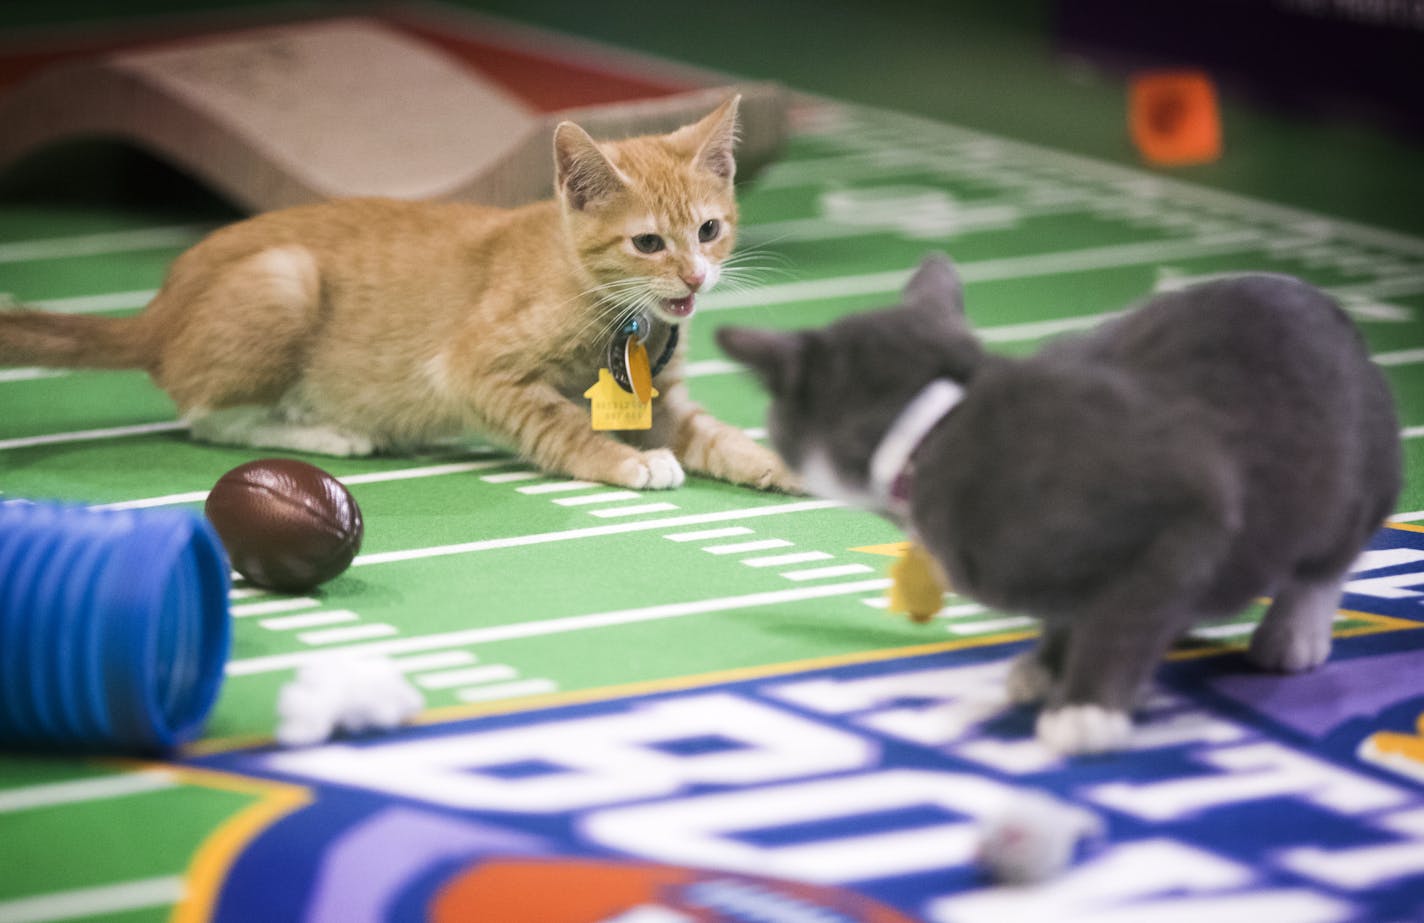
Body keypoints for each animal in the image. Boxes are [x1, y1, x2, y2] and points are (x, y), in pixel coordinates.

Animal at [0, 95, 797, 489]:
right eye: (648, 243)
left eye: (709, 229)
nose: (694, 278)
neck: (620, 313)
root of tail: (161, 307)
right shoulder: (475, 369)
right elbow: (562, 424)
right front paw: (625, 460)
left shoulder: (664, 395)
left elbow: (711, 431)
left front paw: (781, 462)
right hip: (284, 281)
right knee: (208, 417)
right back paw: (329, 430)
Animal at [723, 256, 1401, 752]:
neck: (940, 422)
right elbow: (1073, 612)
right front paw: (1046, 667)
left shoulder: (1189, 516)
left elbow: (1120, 618)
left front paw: (1086, 709)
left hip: (1354, 479)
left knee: (1327, 562)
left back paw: (1291, 635)